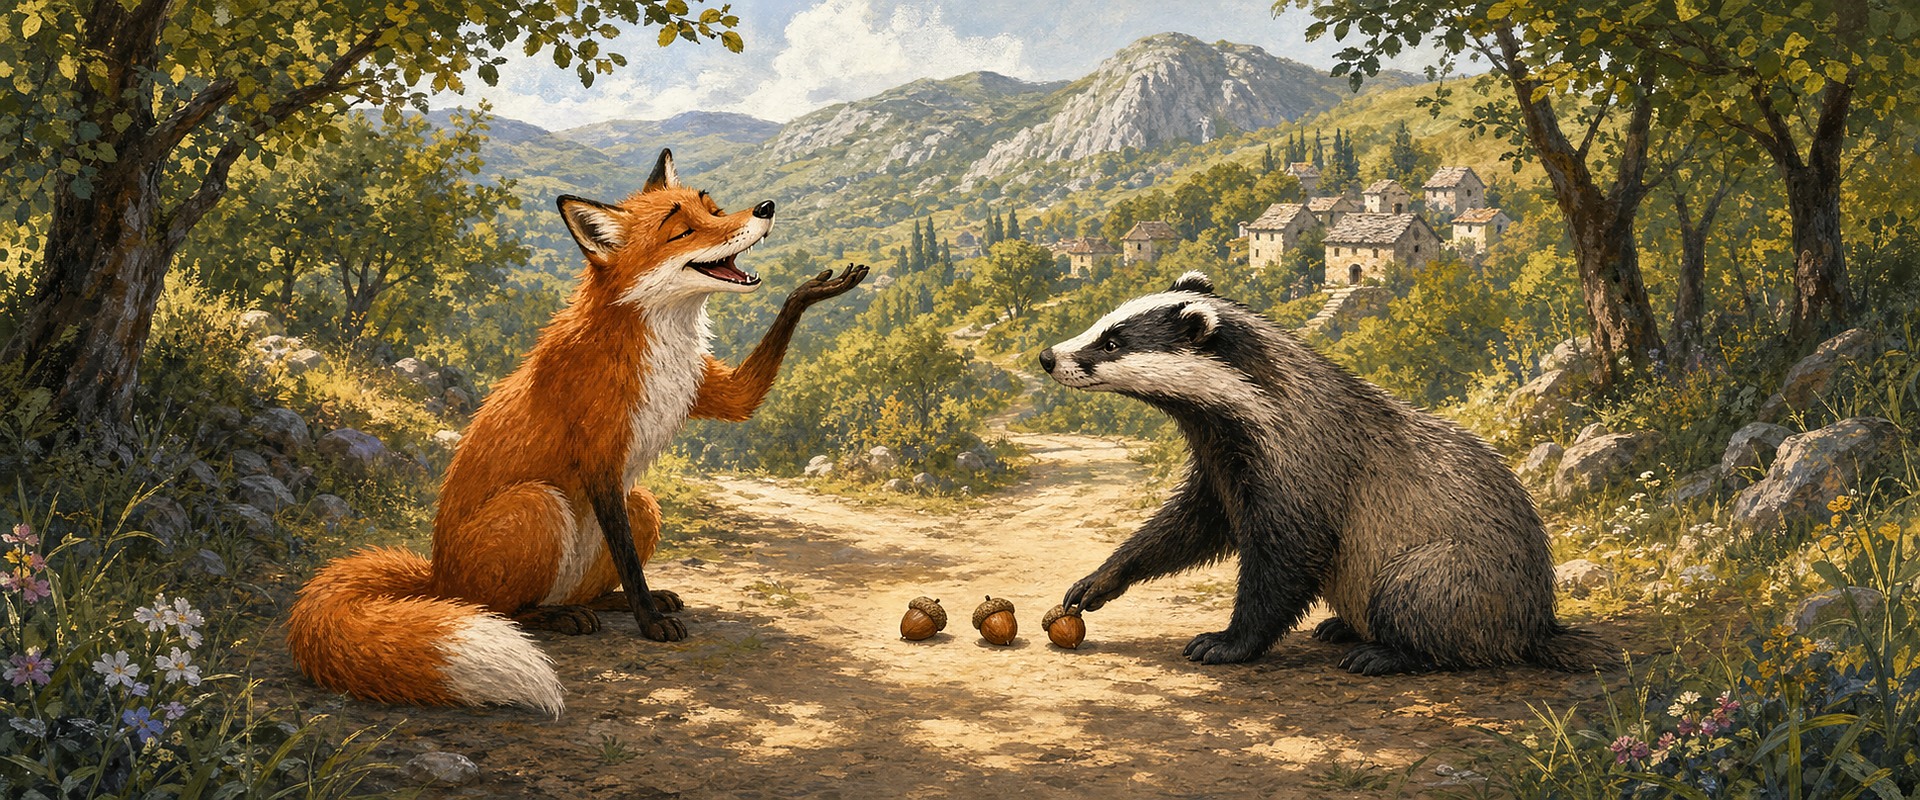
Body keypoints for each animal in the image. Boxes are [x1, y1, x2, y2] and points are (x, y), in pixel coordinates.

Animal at [286, 150, 867, 715]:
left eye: (714, 209)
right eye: (682, 231)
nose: (766, 208)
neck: (658, 341)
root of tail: (435, 577)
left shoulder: (706, 393)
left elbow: (744, 398)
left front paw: (813, 291)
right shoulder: (599, 458)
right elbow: (629, 561)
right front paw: (650, 624)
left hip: (641, 503)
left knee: (581, 585)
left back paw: (604, 603)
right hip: (538, 505)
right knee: (499, 607)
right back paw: (555, 618)